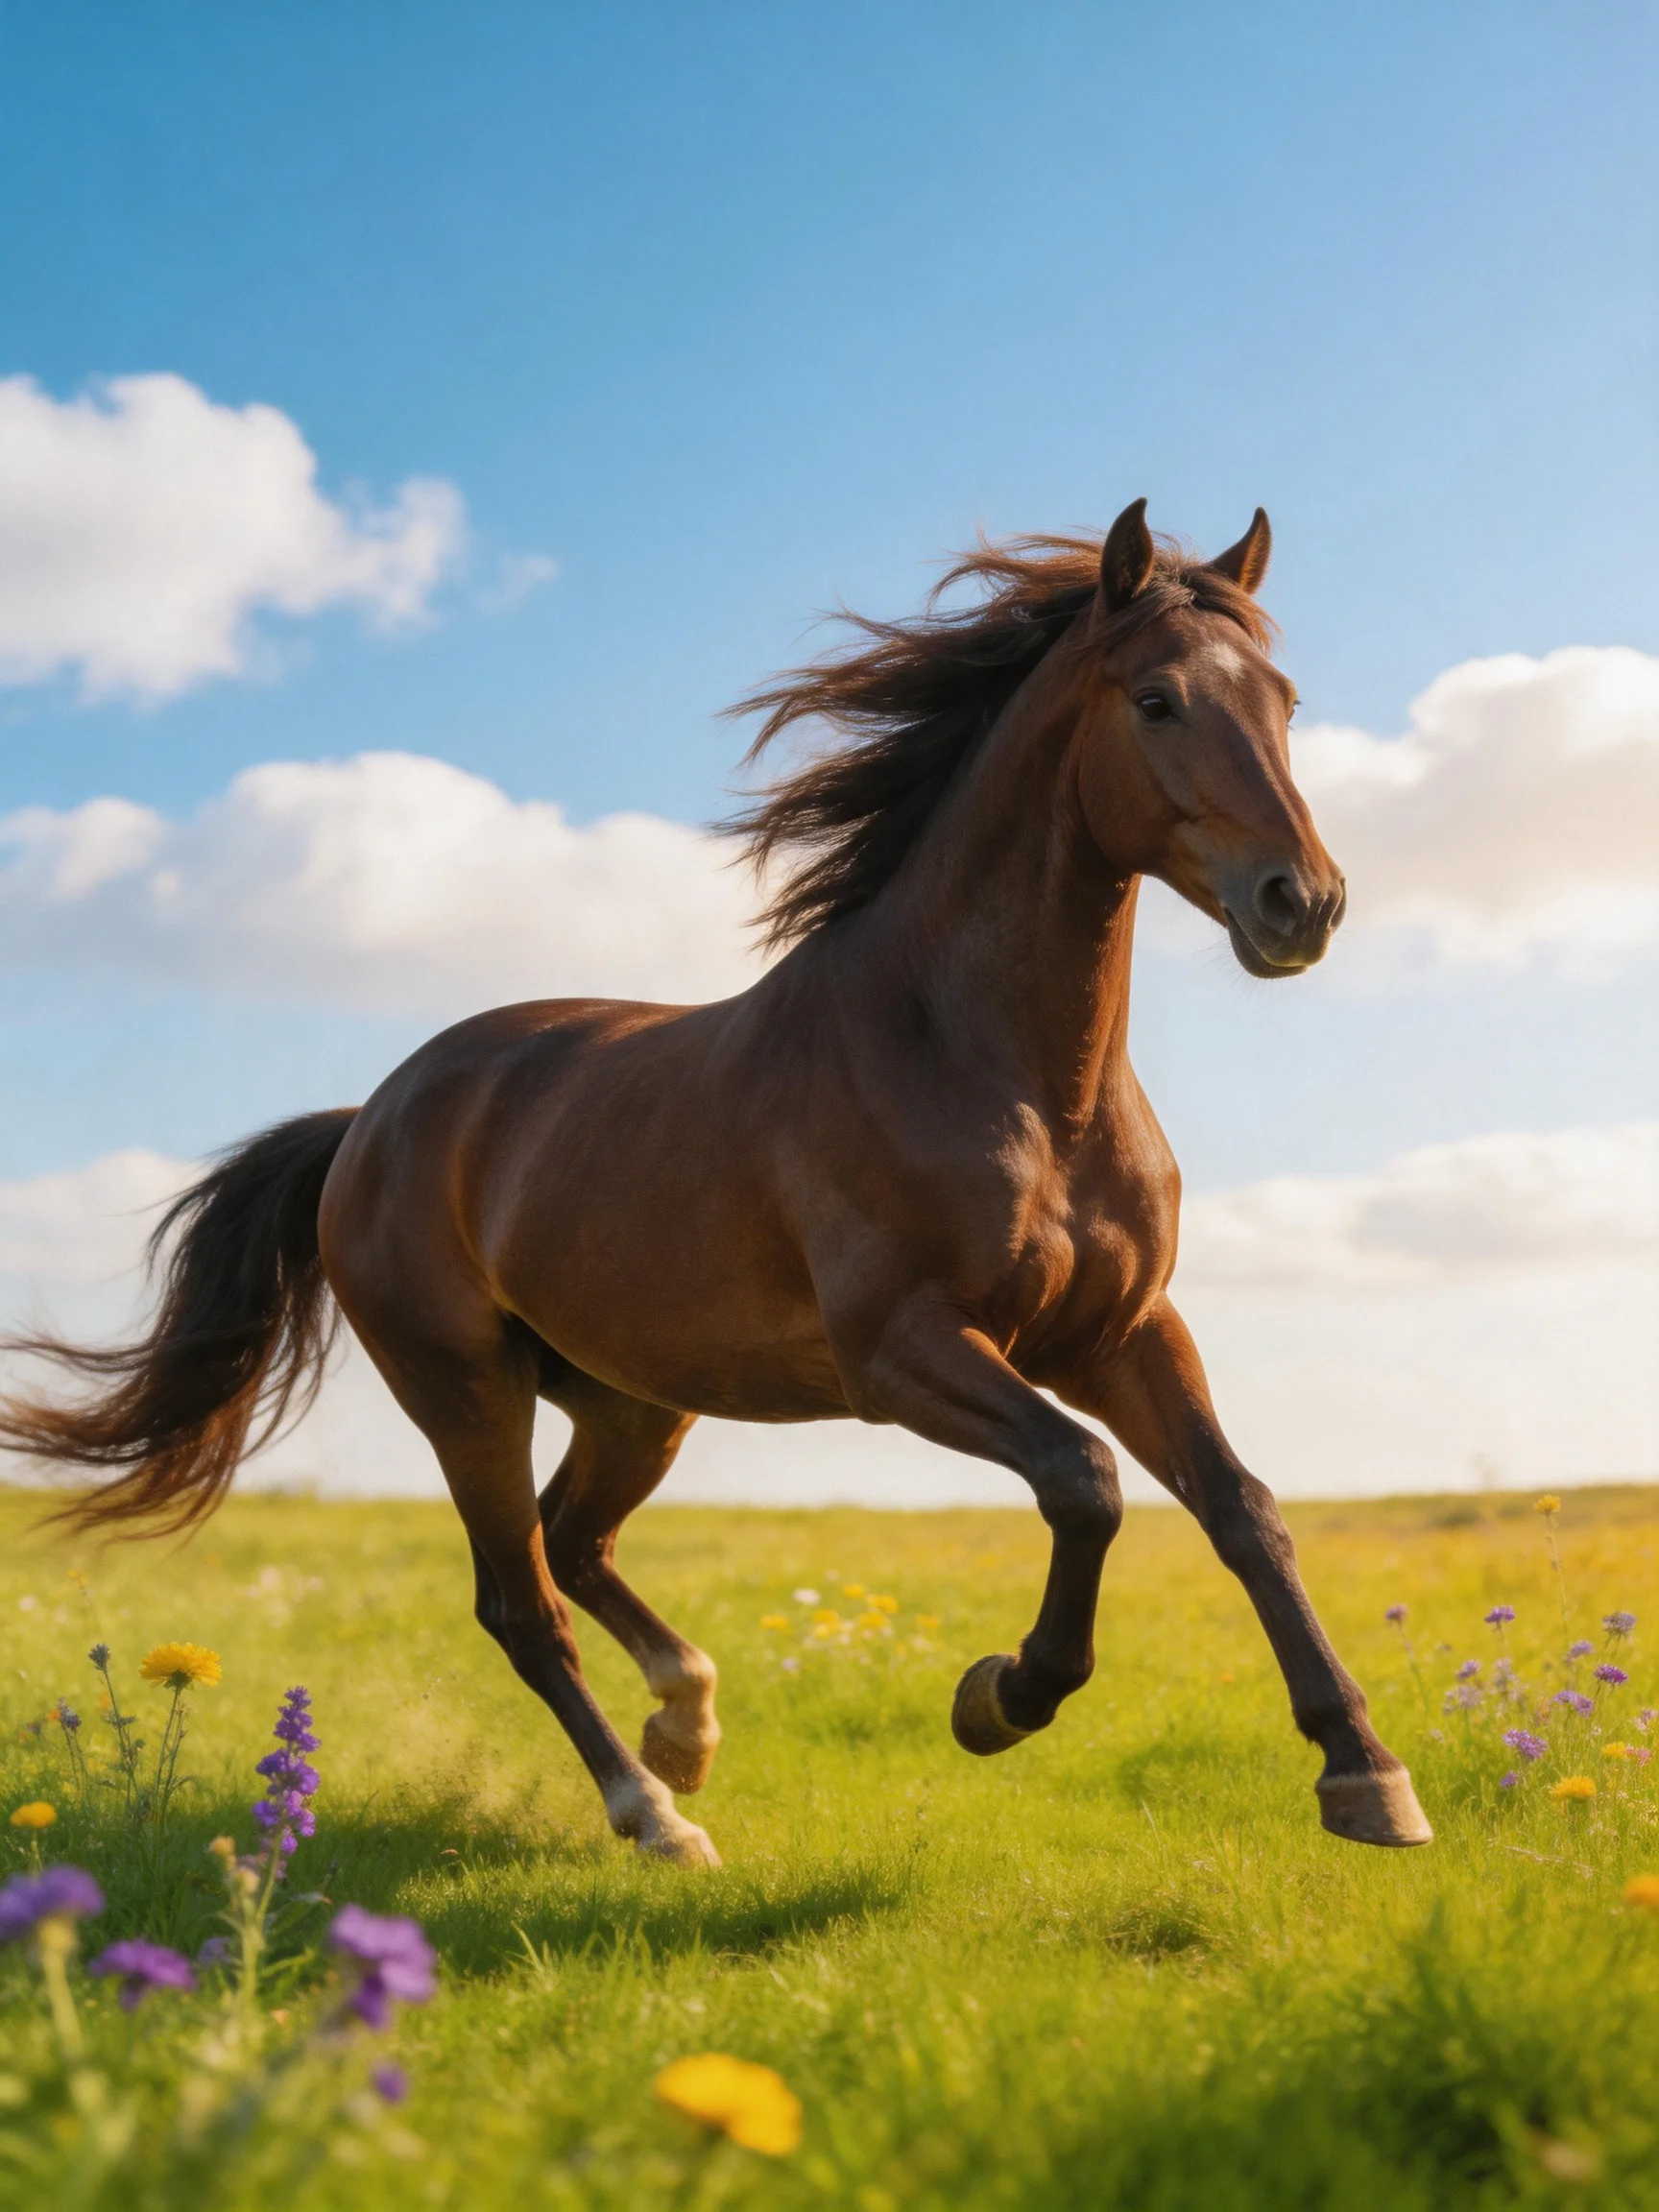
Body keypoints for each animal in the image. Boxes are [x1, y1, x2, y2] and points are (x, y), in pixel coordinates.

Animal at [0, 499, 1432, 1866]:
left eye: (1285, 701)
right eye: (1157, 700)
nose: (1302, 904)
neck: (1003, 1071)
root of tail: (370, 1122)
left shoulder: (1122, 1331)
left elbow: (1244, 1510)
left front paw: (1366, 1776)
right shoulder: (903, 1351)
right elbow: (1084, 1482)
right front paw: (999, 1697)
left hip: (638, 1400)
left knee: (575, 1539)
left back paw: (684, 1723)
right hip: (465, 1390)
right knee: (521, 1600)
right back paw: (656, 1815)